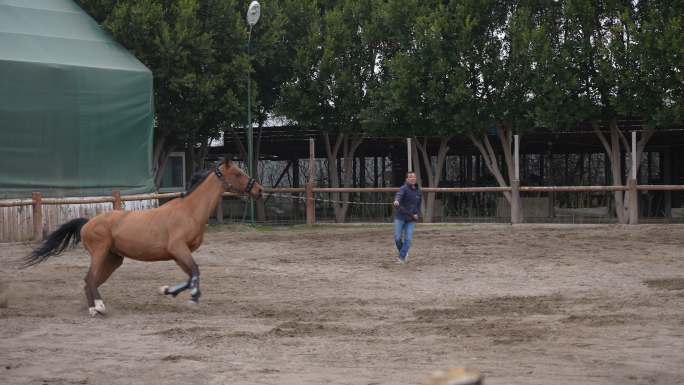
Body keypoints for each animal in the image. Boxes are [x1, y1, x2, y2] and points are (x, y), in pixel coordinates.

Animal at [24, 158, 262, 316]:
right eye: (238, 173)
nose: (258, 190)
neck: (189, 211)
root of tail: (87, 223)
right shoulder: (178, 248)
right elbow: (195, 272)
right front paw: (193, 297)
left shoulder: (178, 254)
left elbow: (190, 275)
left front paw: (169, 291)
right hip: (100, 252)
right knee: (89, 278)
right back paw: (98, 307)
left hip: (114, 259)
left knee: (88, 282)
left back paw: (92, 307)